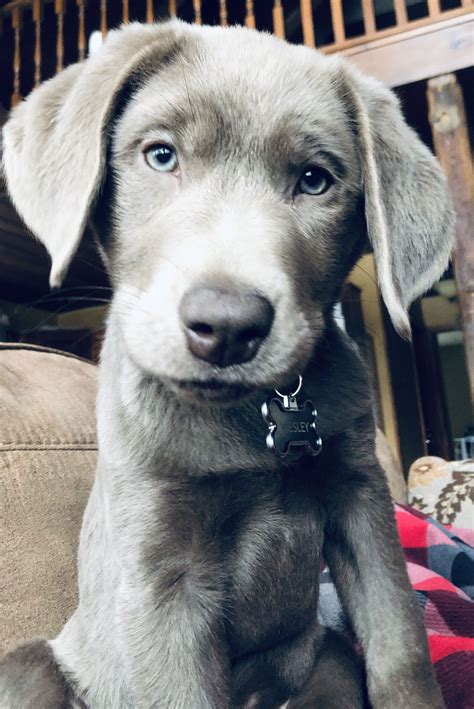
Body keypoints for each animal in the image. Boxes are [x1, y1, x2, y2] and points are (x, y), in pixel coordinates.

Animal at [0, 19, 454, 704]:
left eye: (315, 179)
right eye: (161, 155)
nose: (227, 324)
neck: (256, 415)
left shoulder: (360, 499)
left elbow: (400, 643)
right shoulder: (161, 570)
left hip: (322, 653)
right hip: (29, 662)